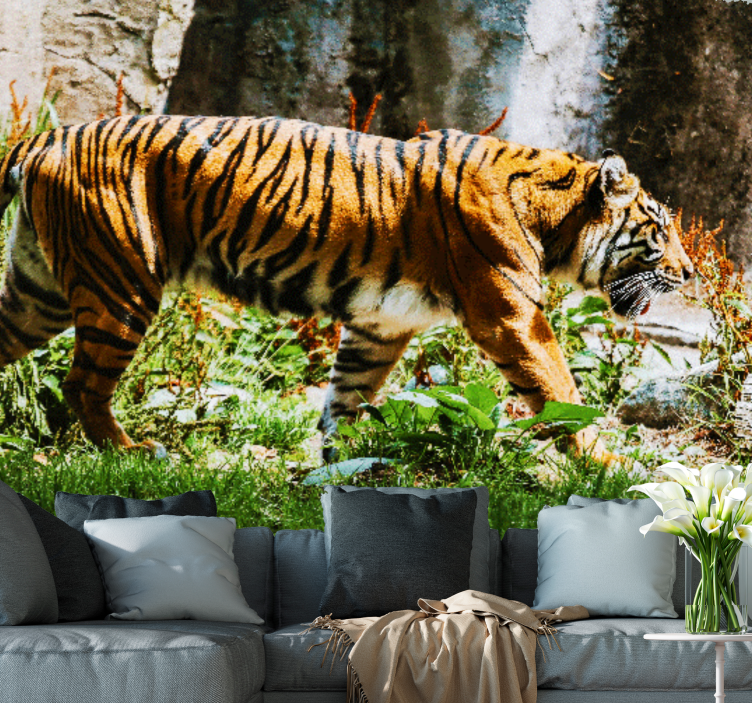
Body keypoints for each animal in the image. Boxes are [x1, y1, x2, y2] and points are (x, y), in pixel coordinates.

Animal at [0, 115, 693, 463]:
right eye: (659, 231)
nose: (690, 274)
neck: (557, 217)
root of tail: (47, 136)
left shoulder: (380, 325)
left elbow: (346, 396)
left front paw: (341, 465)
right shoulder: (511, 316)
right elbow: (560, 390)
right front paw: (609, 467)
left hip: (39, 293)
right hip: (121, 285)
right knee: (82, 385)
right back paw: (132, 452)